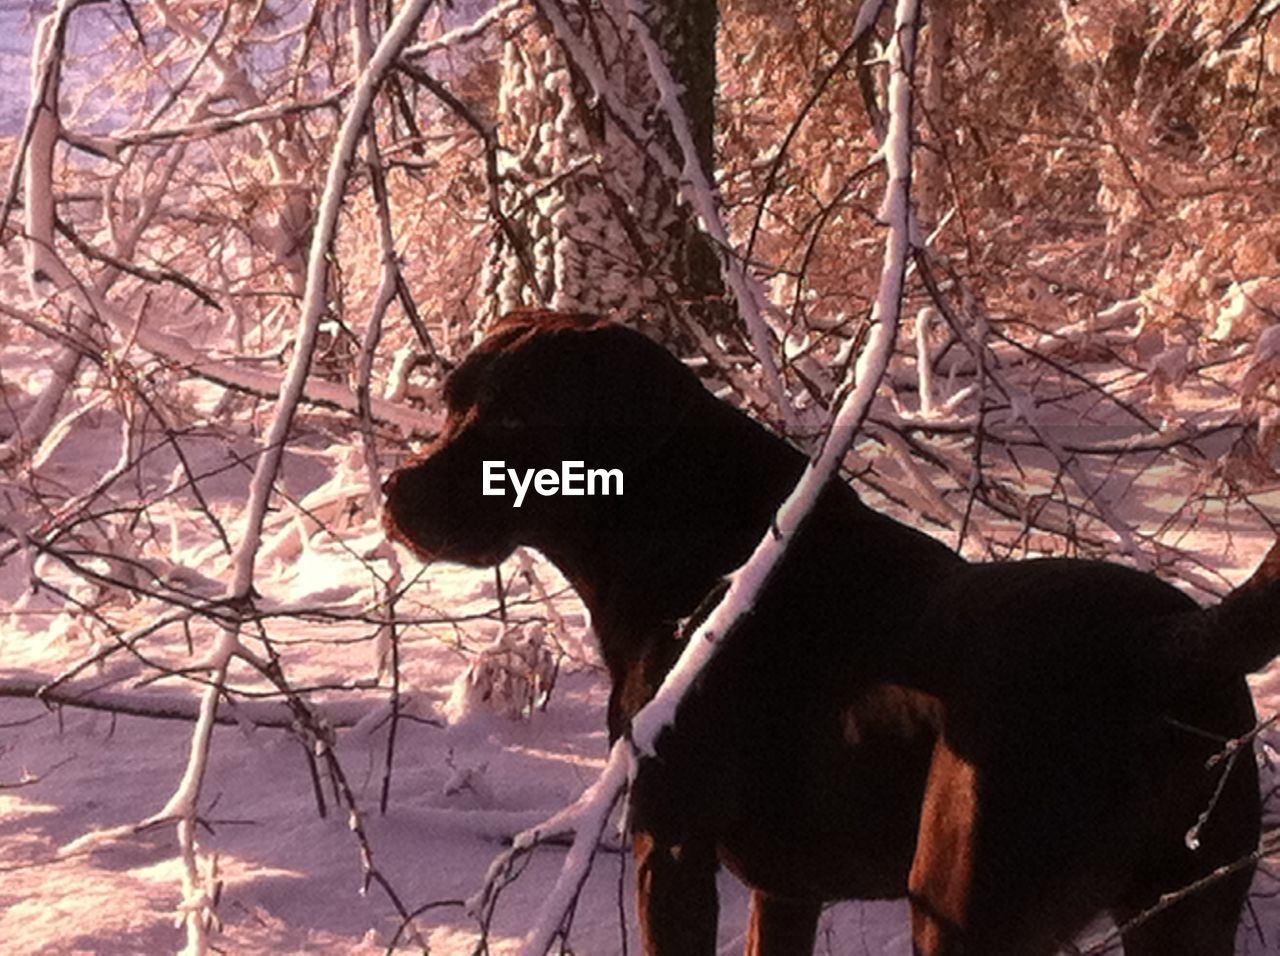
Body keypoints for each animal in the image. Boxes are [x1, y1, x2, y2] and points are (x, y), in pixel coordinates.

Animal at [384, 310, 1274, 952]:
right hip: (1187, 907)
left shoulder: (669, 845)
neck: (692, 545)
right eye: (451, 401)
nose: (394, 491)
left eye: (513, 420)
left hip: (961, 906)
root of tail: (1167, 641)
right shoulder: (786, 887)